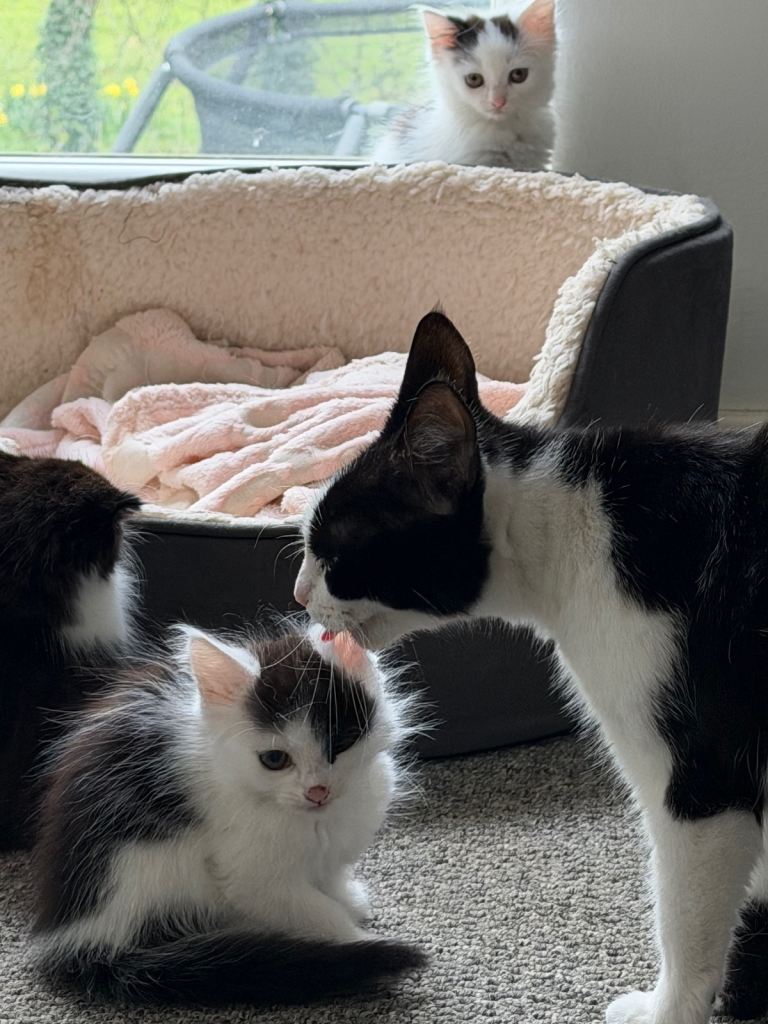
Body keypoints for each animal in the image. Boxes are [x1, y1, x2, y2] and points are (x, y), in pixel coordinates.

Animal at [32, 621, 425, 1006]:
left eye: (339, 743)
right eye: (275, 759)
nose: (317, 791)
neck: (315, 819)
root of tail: (76, 936)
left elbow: (329, 875)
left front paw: (348, 897)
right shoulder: (251, 876)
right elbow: (316, 911)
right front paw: (355, 937)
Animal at [294, 310, 768, 1024]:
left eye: (333, 556)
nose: (298, 594)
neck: (575, 526)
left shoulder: (700, 779)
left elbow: (686, 921)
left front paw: (669, 1008)